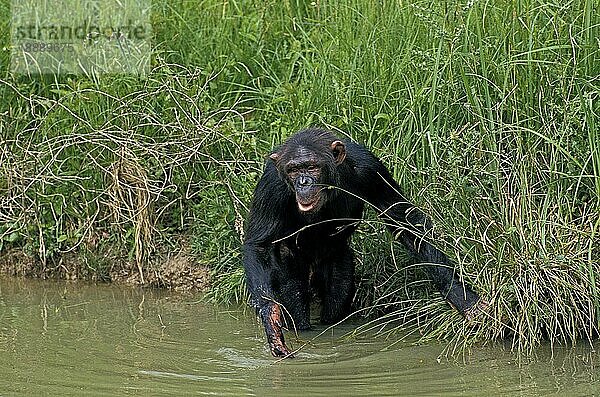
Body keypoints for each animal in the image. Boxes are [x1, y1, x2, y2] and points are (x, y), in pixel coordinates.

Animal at [241, 128, 480, 358]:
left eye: (311, 167)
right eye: (292, 170)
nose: (303, 182)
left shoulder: (371, 169)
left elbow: (403, 219)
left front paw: (462, 297)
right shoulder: (272, 185)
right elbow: (259, 245)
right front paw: (272, 323)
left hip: (339, 262)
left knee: (337, 296)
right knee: (295, 299)